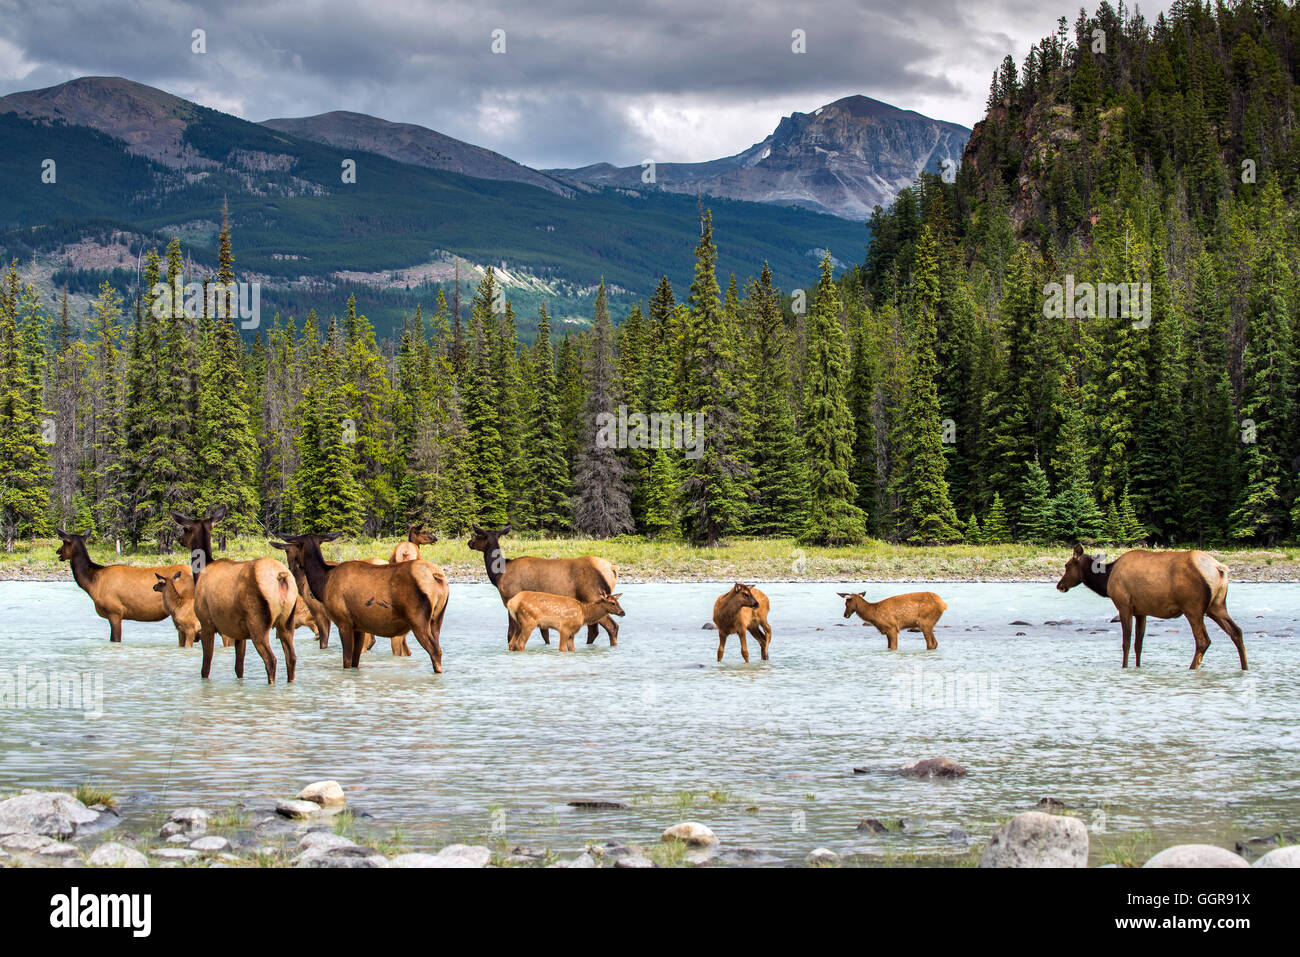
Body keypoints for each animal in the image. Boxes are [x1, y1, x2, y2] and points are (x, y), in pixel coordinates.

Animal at [172, 504, 299, 686]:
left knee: (271, 660)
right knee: (292, 658)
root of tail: (281, 576)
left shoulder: (206, 622)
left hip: (258, 622)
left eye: (185, 529)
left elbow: (205, 667)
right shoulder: (239, 632)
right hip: (288, 620)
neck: (200, 572)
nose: (180, 539)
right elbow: (239, 668)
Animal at [273, 530, 447, 670]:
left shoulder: (343, 621)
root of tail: (436, 575)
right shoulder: (359, 626)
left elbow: (346, 660)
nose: (296, 565)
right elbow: (355, 661)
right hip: (436, 620)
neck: (322, 583)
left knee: (435, 651)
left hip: (418, 619)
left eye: (297, 547)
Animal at [467, 527, 618, 647]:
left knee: (612, 627)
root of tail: (612, 569)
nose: (469, 542)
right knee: (594, 631)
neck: (499, 574)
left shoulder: (510, 599)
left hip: (594, 597)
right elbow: (545, 635)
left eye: (478, 535)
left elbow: (510, 634)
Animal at [1055, 540, 1248, 670]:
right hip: (1217, 606)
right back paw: (1245, 667)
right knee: (1236, 631)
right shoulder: (1141, 611)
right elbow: (1138, 644)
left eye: (1067, 566)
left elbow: (1126, 642)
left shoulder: (1124, 605)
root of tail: (1219, 568)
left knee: (1203, 640)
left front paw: (1124, 667)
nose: (1060, 585)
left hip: (1193, 607)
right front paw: (1138, 667)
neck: (1106, 579)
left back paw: (1191, 668)